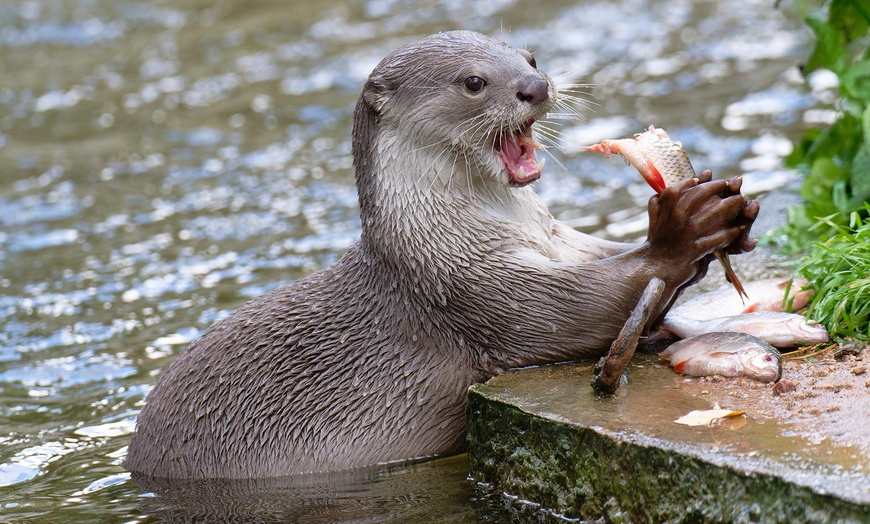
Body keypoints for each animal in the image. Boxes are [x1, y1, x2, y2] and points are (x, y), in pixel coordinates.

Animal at [126, 29, 760, 478]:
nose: (536, 87)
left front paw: (735, 215)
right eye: (474, 82)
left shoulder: (556, 243)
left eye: (530, 57)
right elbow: (570, 308)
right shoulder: (467, 286)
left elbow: (599, 258)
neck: (439, 235)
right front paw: (680, 231)